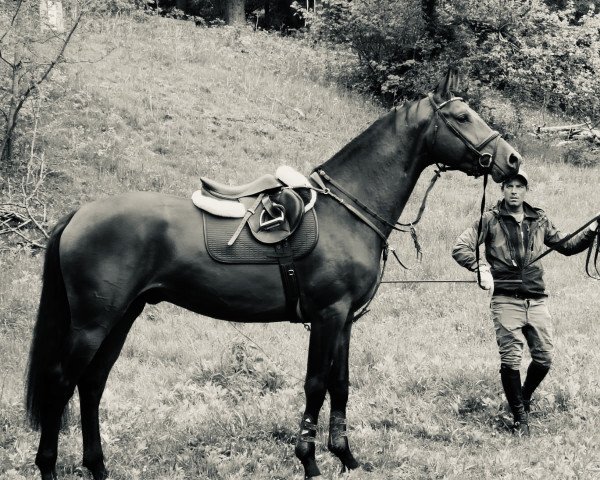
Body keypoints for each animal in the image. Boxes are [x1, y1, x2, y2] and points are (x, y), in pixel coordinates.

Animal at [24, 69, 520, 478]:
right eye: (462, 116)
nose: (512, 160)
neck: (348, 210)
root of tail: (80, 214)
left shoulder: (344, 320)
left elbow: (340, 384)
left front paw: (346, 456)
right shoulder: (326, 316)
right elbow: (316, 385)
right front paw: (310, 461)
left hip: (122, 317)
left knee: (91, 384)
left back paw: (97, 466)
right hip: (93, 323)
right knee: (61, 382)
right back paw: (48, 466)